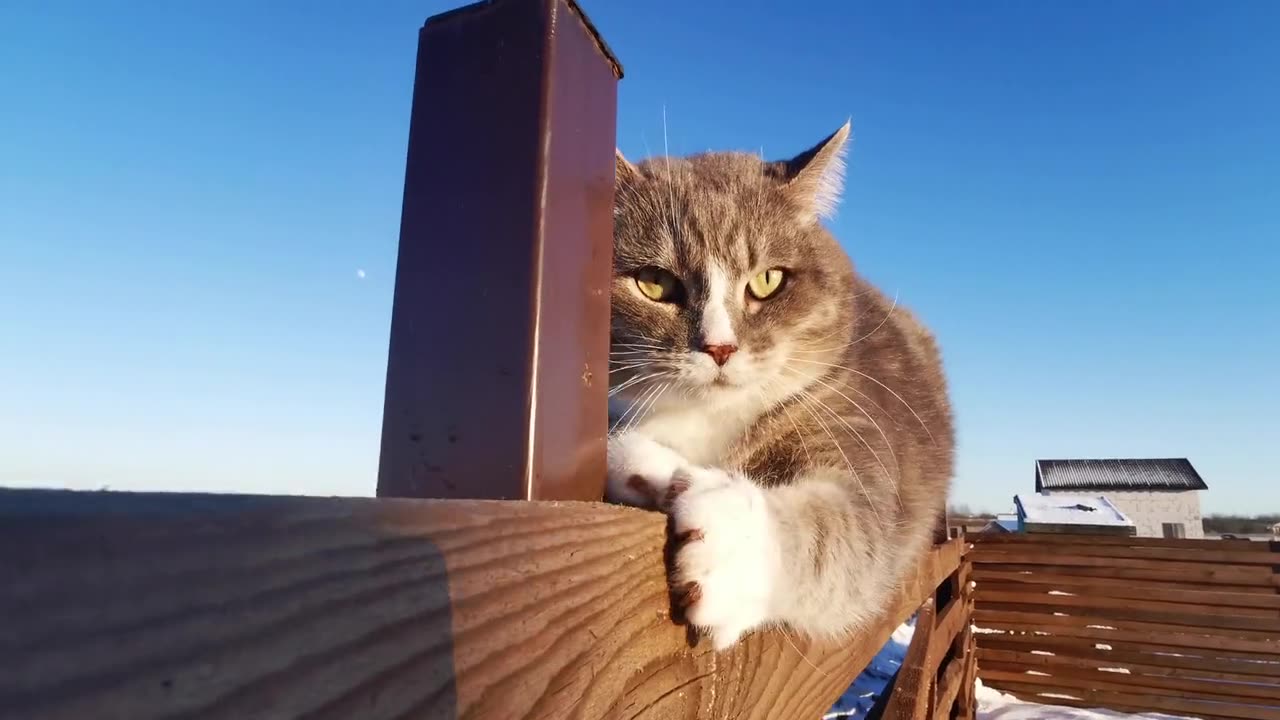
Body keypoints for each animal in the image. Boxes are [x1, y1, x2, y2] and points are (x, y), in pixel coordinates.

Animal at [606, 121, 952, 650]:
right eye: (655, 283)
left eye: (768, 280)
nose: (719, 347)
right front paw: (645, 469)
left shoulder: (854, 428)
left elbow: (848, 536)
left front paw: (729, 548)